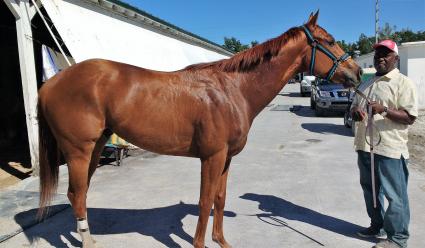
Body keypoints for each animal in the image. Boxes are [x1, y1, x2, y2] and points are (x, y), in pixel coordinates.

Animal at [38, 12, 360, 248]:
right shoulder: (212, 157)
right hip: (79, 151)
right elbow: (205, 202)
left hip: (94, 148)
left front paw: (221, 241)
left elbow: (219, 198)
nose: (357, 74)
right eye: (330, 41)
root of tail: (51, 84)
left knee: (77, 195)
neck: (233, 90)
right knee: (78, 194)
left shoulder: (226, 158)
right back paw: (88, 242)